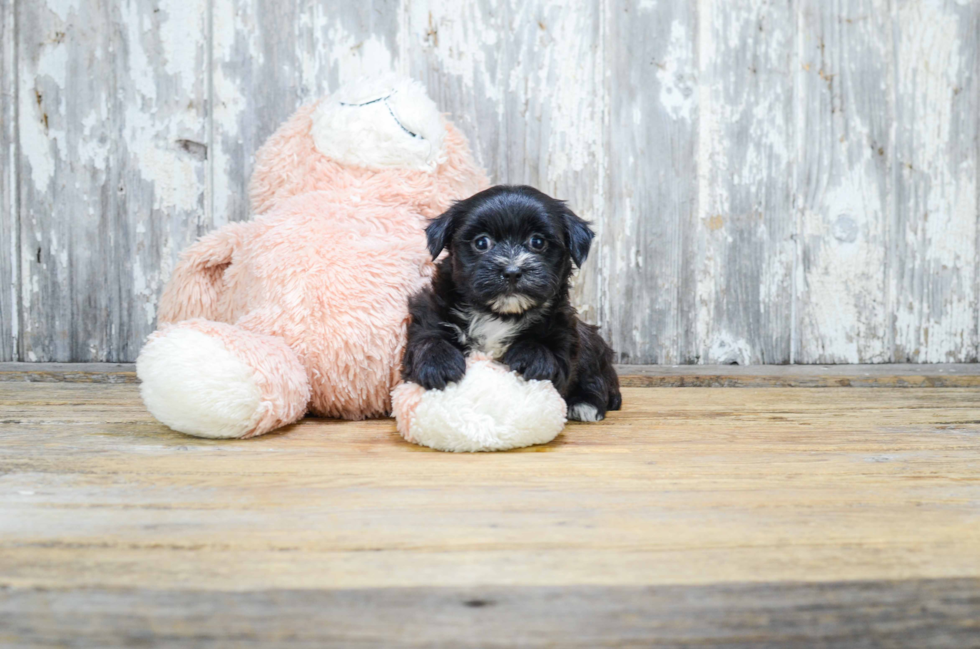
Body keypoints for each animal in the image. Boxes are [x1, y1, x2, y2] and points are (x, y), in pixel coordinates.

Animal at [404, 185, 620, 422]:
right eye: (481, 242)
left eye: (537, 242)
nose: (512, 271)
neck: (499, 315)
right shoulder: (430, 312)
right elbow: (427, 338)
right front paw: (439, 363)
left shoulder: (565, 331)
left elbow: (552, 353)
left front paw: (531, 357)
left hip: (593, 345)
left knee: (598, 378)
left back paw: (586, 403)